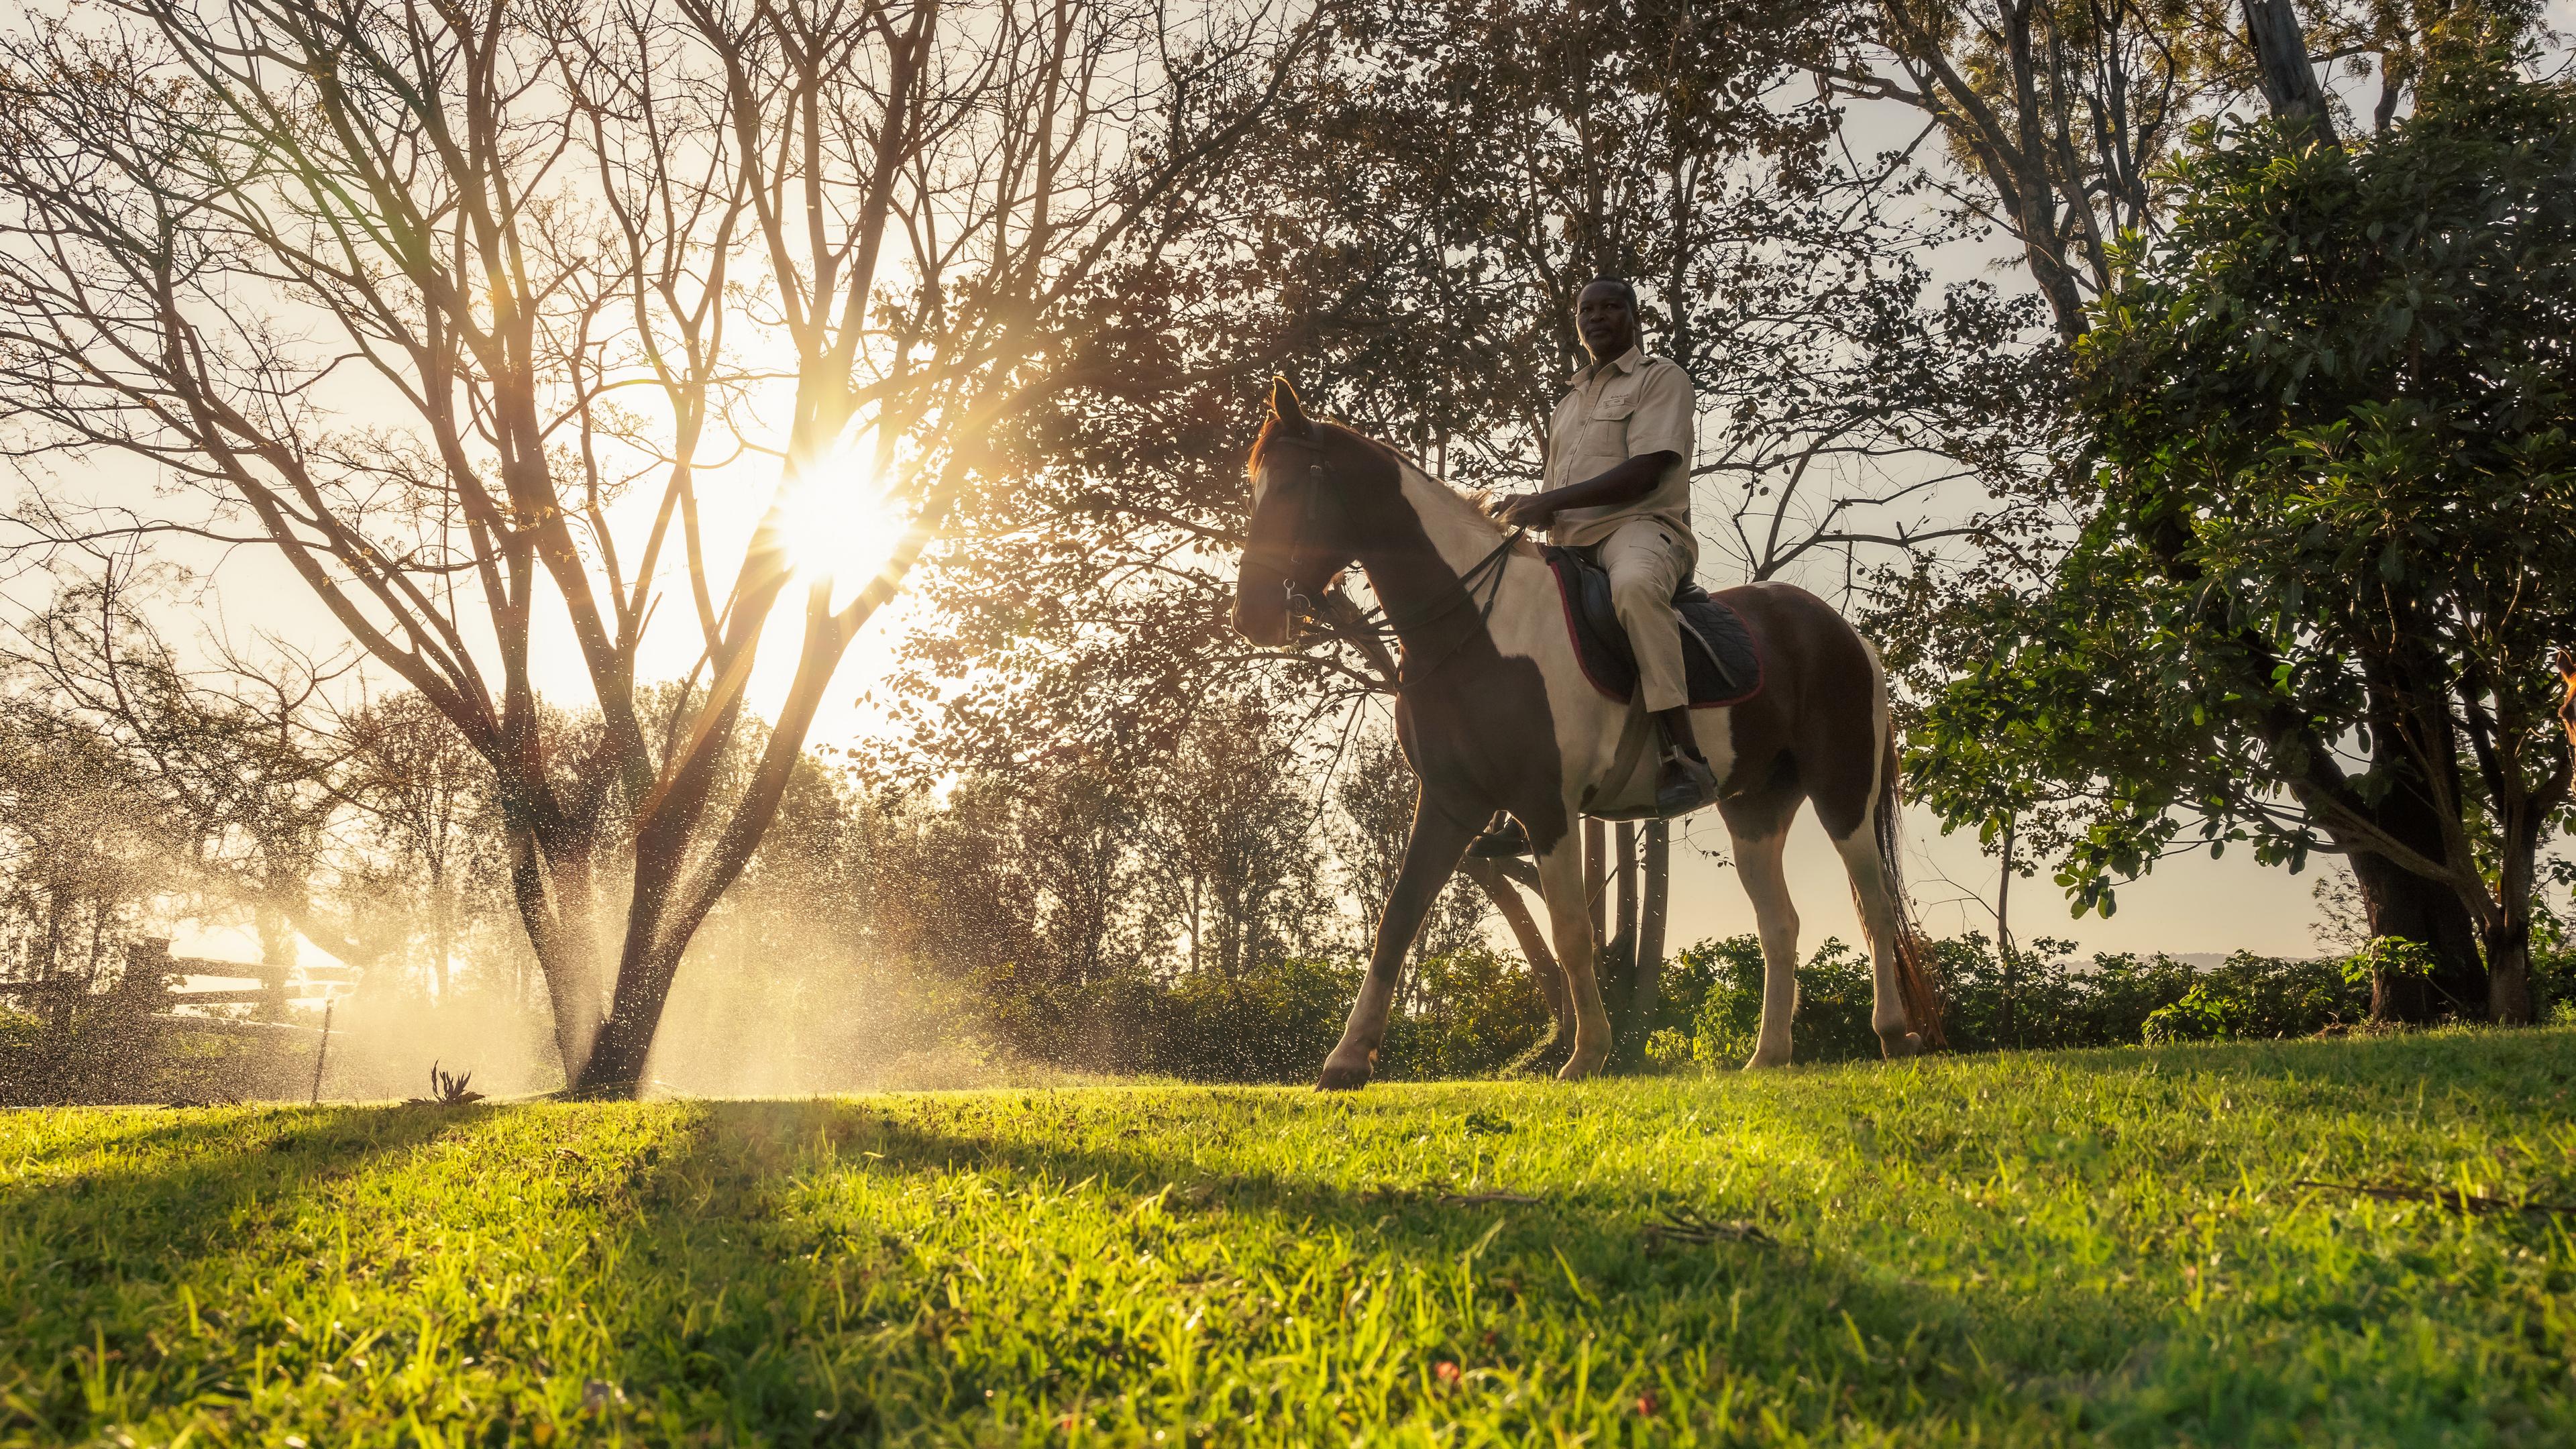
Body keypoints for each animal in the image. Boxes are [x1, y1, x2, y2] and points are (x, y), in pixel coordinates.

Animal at [1236, 378, 1937, 1077]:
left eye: (1293, 489)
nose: (1252, 616)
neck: (1478, 627)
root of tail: (1842, 632)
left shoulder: (1546, 805)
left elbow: (1573, 932)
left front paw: (1588, 1053)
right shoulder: (1450, 802)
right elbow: (1399, 917)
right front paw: (1347, 1059)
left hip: (1842, 788)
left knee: (1875, 906)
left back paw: (1892, 1033)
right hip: (1754, 809)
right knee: (1780, 924)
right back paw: (1768, 1055)